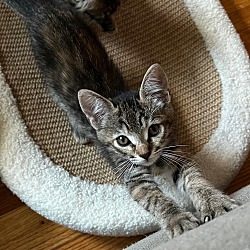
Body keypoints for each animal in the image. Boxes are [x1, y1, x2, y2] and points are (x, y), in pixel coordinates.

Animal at [2, 0, 239, 239]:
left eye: (154, 130)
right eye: (122, 140)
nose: (144, 153)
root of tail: (44, 9)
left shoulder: (173, 153)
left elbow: (194, 178)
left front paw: (214, 202)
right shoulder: (133, 177)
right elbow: (156, 200)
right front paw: (178, 220)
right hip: (51, 81)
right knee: (64, 103)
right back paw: (79, 128)